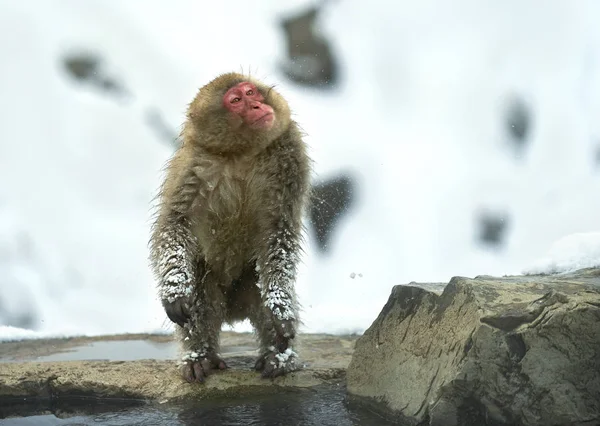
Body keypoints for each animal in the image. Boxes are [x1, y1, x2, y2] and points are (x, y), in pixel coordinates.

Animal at [148, 72, 312, 382]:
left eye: (251, 93)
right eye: (236, 101)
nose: (257, 106)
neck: (241, 154)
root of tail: (235, 311)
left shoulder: (289, 159)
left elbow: (278, 234)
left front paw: (280, 308)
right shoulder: (192, 166)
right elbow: (174, 224)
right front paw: (175, 290)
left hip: (248, 282)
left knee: (261, 289)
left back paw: (278, 356)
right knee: (201, 291)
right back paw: (199, 357)